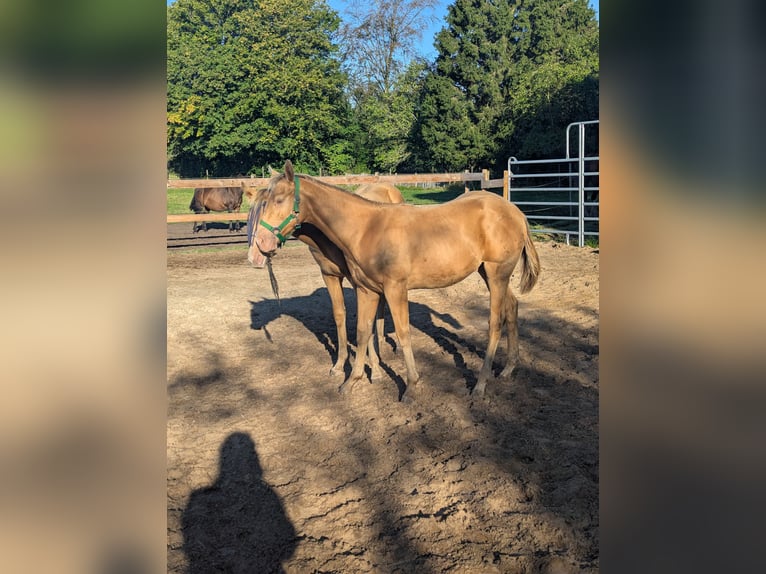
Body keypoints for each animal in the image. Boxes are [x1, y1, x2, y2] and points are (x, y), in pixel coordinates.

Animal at [247, 181, 404, 379]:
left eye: (274, 206)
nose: (254, 257)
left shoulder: (358, 282)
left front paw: (375, 369)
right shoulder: (329, 276)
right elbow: (339, 315)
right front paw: (339, 364)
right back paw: (381, 339)